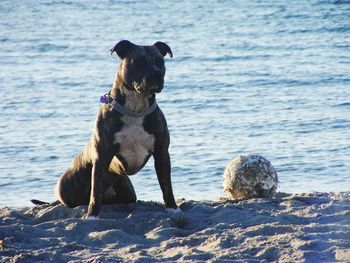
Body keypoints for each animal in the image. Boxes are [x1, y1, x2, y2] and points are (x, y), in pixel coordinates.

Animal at [56, 40, 180, 220]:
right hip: (65, 188)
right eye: (139, 61)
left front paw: (173, 208)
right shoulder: (102, 156)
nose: (157, 74)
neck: (135, 109)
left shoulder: (162, 153)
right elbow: (95, 191)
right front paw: (92, 216)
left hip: (127, 191)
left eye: (160, 62)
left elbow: (167, 185)